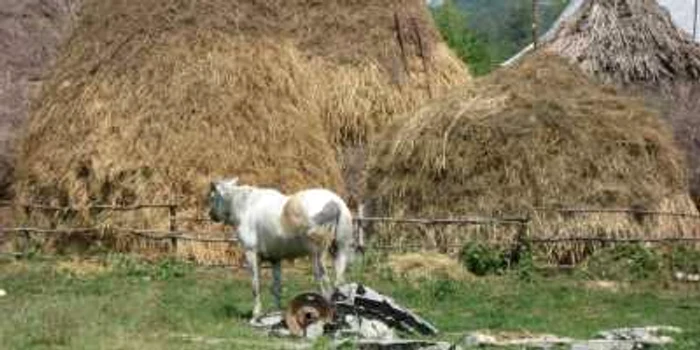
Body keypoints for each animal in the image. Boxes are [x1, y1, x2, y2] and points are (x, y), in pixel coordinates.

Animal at [206, 176, 358, 318]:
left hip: (317, 256)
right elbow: (277, 287)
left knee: (324, 284)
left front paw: (256, 313)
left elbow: (256, 285)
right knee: (339, 281)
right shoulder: (275, 259)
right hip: (341, 250)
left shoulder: (251, 254)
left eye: (213, 197)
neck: (245, 206)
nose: (211, 215)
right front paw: (277, 312)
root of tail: (335, 203)